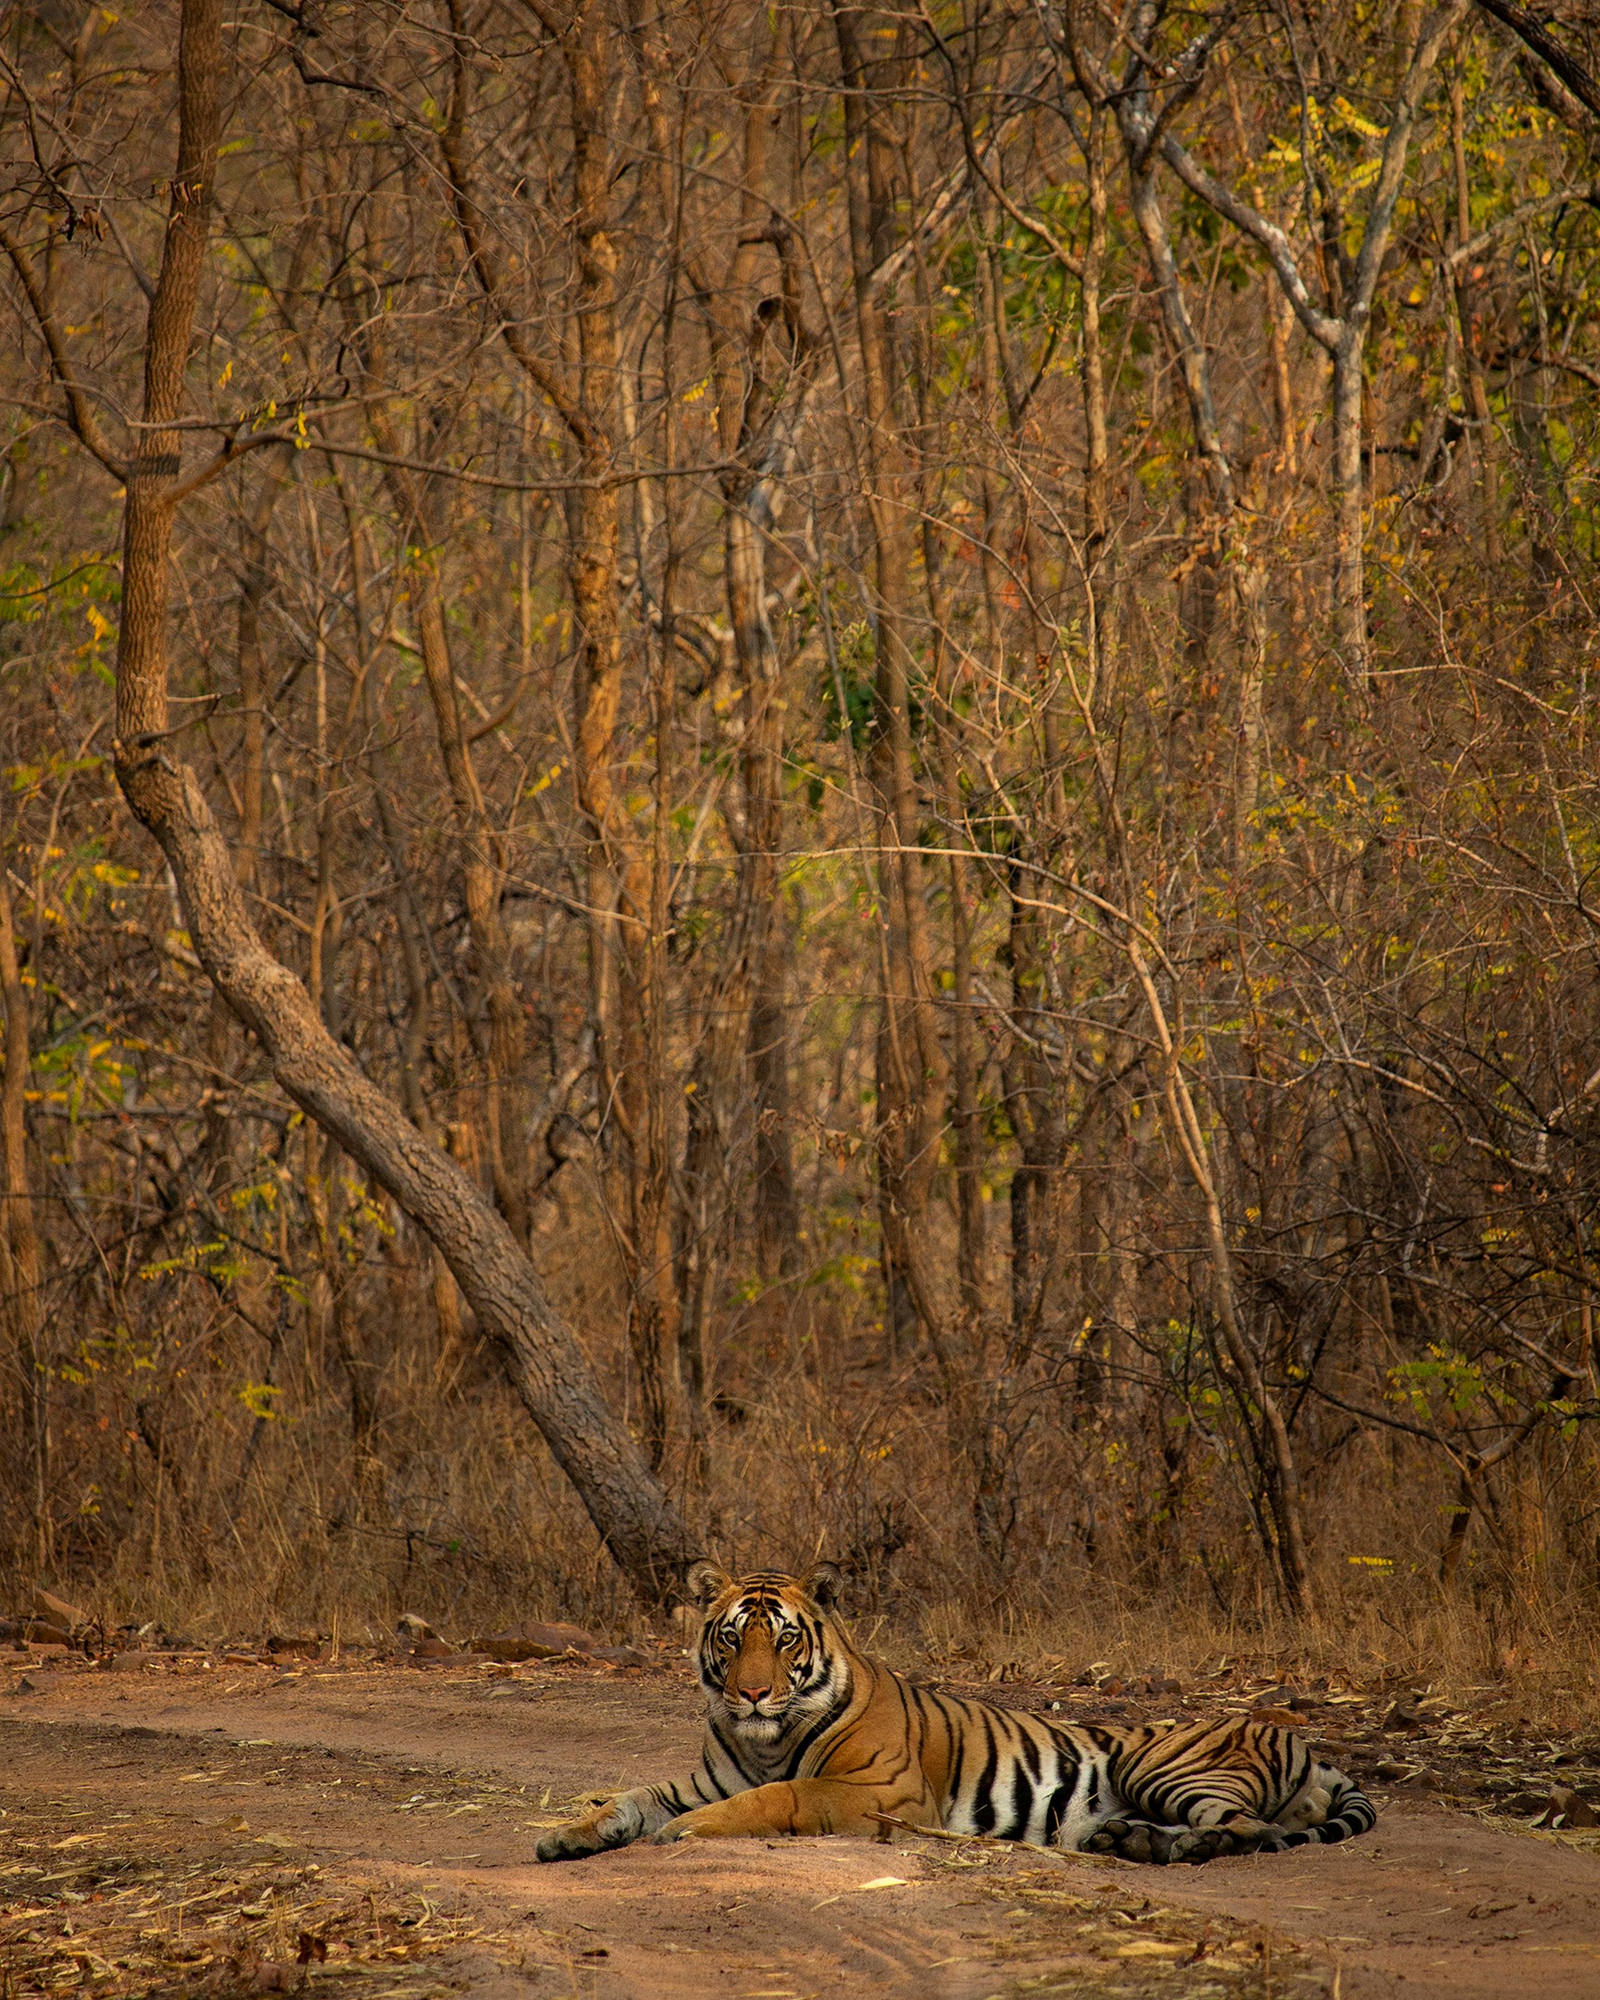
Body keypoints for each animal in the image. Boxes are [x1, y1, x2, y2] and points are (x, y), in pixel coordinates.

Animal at [535, 1561, 1375, 1866]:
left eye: (784, 1641)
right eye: (732, 1637)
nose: (750, 1693)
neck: (763, 1739)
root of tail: (1307, 1743)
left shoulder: (882, 1792)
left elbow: (778, 1796)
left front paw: (687, 1831)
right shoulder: (704, 1777)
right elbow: (631, 1797)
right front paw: (568, 1834)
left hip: (1161, 1762)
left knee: (1247, 1828)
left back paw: (1171, 1848)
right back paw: (1125, 1839)